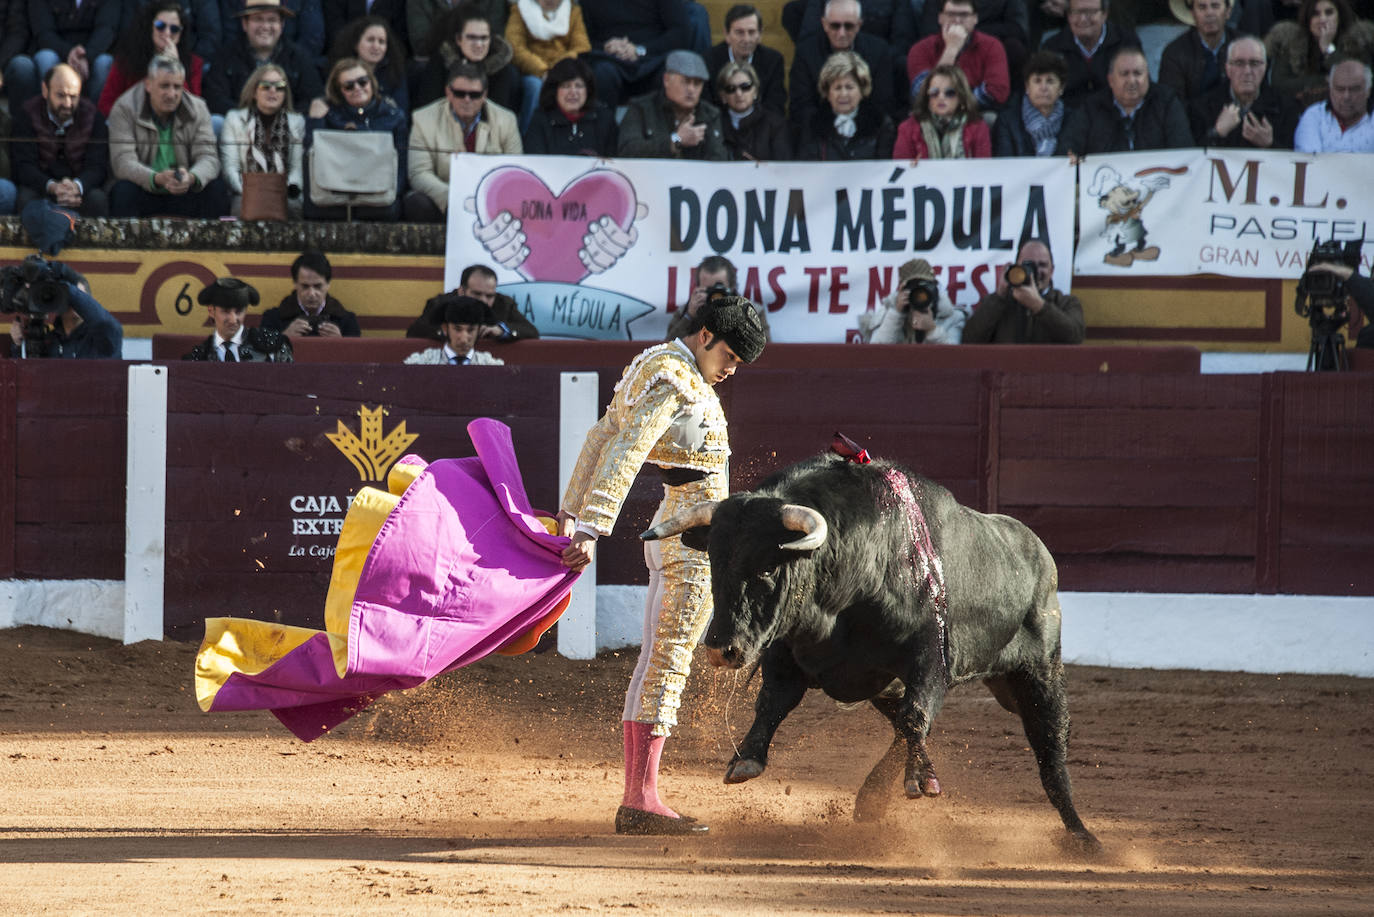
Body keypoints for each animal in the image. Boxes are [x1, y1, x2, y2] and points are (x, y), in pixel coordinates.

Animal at [643, 450, 1104, 852]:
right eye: (715, 563)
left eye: (769, 567)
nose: (723, 649)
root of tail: (1040, 554)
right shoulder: (787, 651)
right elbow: (773, 702)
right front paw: (746, 760)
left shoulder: (929, 660)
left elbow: (915, 715)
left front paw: (920, 781)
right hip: (886, 685)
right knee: (905, 724)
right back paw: (872, 800)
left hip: (1040, 671)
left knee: (1048, 751)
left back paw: (1082, 835)